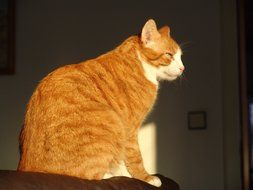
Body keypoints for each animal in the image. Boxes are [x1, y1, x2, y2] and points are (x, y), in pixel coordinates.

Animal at [17, 19, 184, 187]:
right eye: (169, 55)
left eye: (180, 57)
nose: (183, 68)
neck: (138, 62)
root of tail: (26, 166)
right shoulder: (130, 128)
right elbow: (135, 157)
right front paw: (146, 177)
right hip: (113, 122)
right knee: (93, 176)